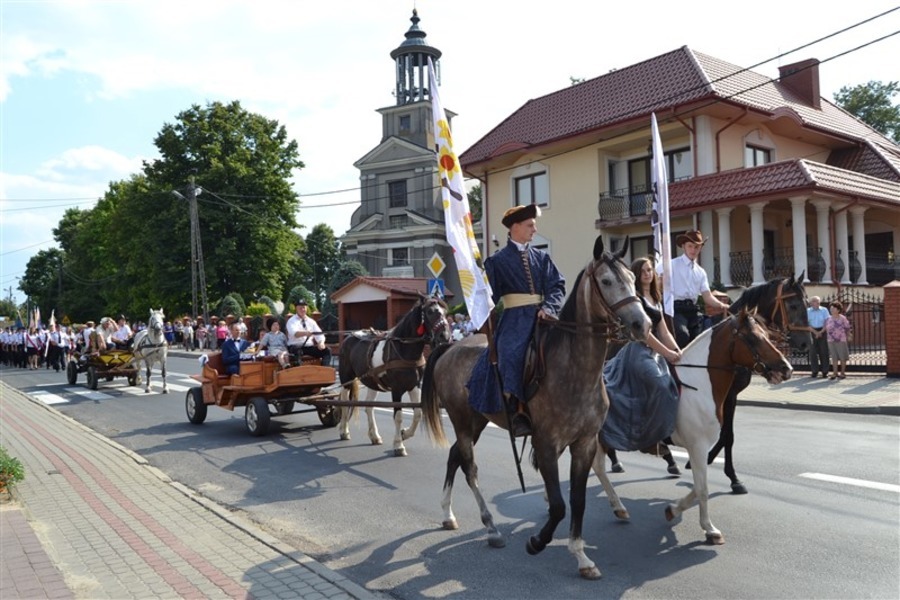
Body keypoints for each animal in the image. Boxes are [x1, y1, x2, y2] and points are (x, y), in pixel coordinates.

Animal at [338, 292, 450, 458]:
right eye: (430, 312)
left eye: (445, 311)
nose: (445, 336)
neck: (403, 347)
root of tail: (349, 336)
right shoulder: (397, 390)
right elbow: (398, 416)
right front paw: (398, 445)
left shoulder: (414, 386)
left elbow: (418, 413)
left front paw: (404, 434)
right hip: (347, 378)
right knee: (345, 402)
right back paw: (344, 431)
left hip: (372, 382)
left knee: (369, 407)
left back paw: (374, 436)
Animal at [418, 236, 652, 580]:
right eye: (607, 281)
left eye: (634, 279)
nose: (642, 324)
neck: (575, 369)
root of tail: (450, 346)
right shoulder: (546, 443)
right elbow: (558, 505)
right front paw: (537, 542)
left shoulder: (584, 443)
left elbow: (577, 500)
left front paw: (581, 556)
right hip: (462, 422)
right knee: (470, 469)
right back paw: (491, 528)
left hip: (476, 422)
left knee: (453, 457)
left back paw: (448, 513)